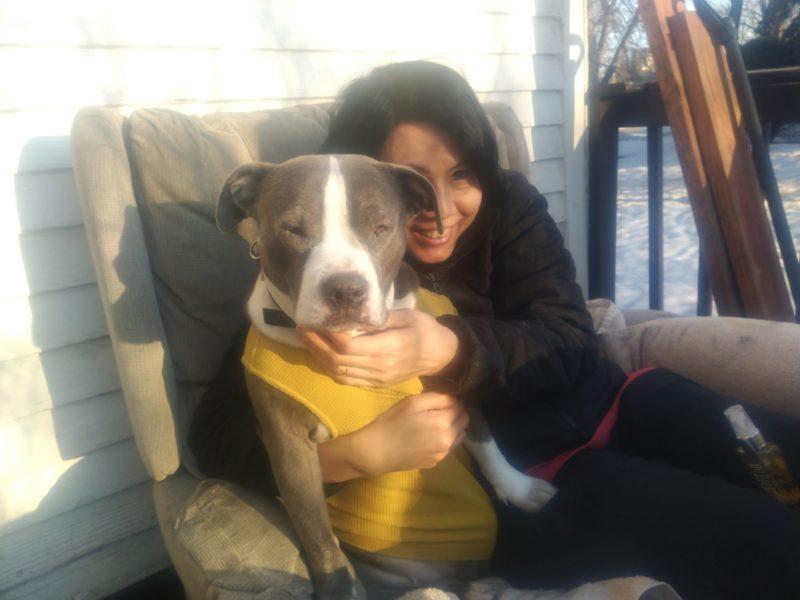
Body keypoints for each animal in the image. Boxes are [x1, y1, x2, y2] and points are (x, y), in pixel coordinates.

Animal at [217, 156, 556, 600]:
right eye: (291, 229)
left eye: (380, 227)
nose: (345, 290)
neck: (354, 341)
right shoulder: (287, 444)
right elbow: (317, 535)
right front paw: (339, 587)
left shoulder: (450, 375)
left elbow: (485, 441)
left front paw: (519, 488)